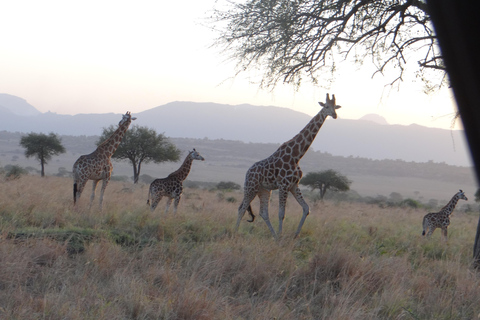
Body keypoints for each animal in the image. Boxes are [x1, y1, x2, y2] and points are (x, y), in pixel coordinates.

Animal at [236, 92, 342, 238]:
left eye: (335, 107)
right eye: (326, 106)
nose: (334, 115)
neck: (296, 156)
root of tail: (247, 172)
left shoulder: (293, 185)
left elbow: (306, 208)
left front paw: (295, 235)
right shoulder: (284, 185)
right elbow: (281, 214)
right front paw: (282, 237)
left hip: (264, 190)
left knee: (263, 212)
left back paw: (274, 236)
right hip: (251, 187)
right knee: (241, 208)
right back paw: (234, 233)